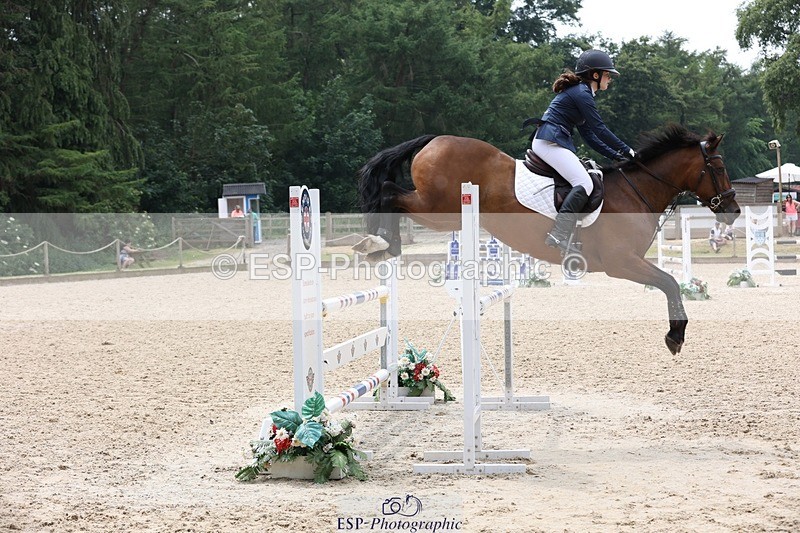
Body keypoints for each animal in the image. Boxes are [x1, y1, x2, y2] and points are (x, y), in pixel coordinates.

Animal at [355, 124, 740, 355]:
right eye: (719, 168)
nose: (733, 210)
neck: (637, 190)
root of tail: (434, 140)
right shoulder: (621, 262)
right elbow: (670, 283)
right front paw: (675, 337)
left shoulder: (628, 262)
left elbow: (669, 282)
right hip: (440, 208)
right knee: (388, 192)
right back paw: (380, 243)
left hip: (440, 210)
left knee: (392, 194)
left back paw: (380, 245)